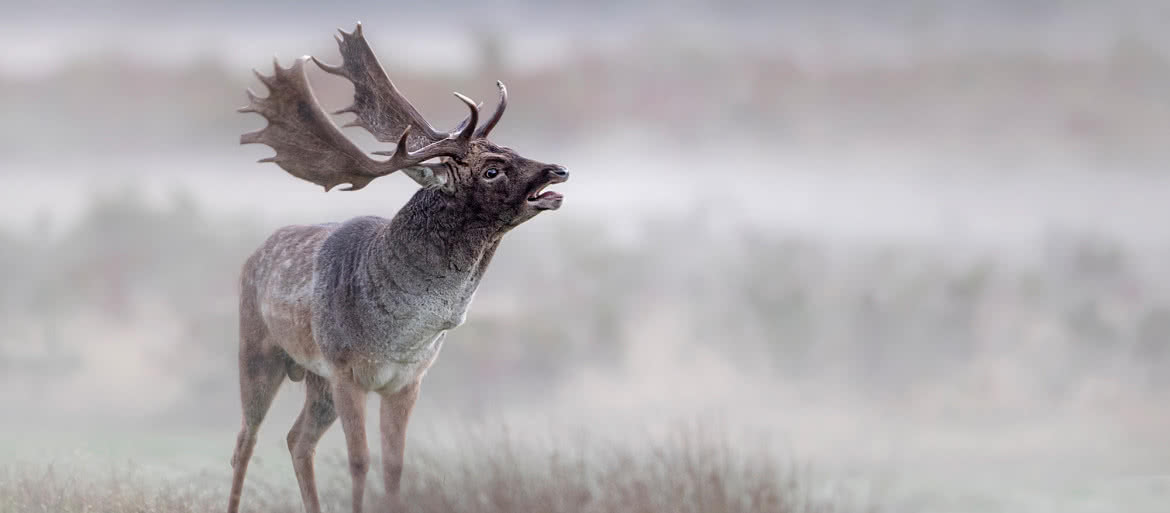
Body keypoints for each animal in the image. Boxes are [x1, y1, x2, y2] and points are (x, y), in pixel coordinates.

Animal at [226, 22, 566, 513]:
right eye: (491, 170)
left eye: (510, 147)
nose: (557, 171)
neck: (401, 334)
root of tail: (253, 256)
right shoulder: (346, 370)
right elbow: (359, 461)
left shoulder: (407, 380)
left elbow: (394, 466)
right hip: (259, 350)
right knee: (245, 441)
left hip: (315, 380)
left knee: (297, 440)